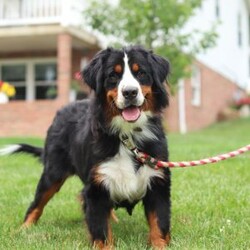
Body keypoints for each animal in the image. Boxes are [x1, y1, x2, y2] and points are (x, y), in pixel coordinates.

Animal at [0, 46, 171, 249]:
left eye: (141, 73)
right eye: (113, 75)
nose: (130, 92)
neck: (128, 135)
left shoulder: (158, 182)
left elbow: (159, 223)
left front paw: (159, 244)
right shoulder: (97, 186)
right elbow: (100, 227)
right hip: (53, 172)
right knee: (37, 203)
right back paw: (24, 229)